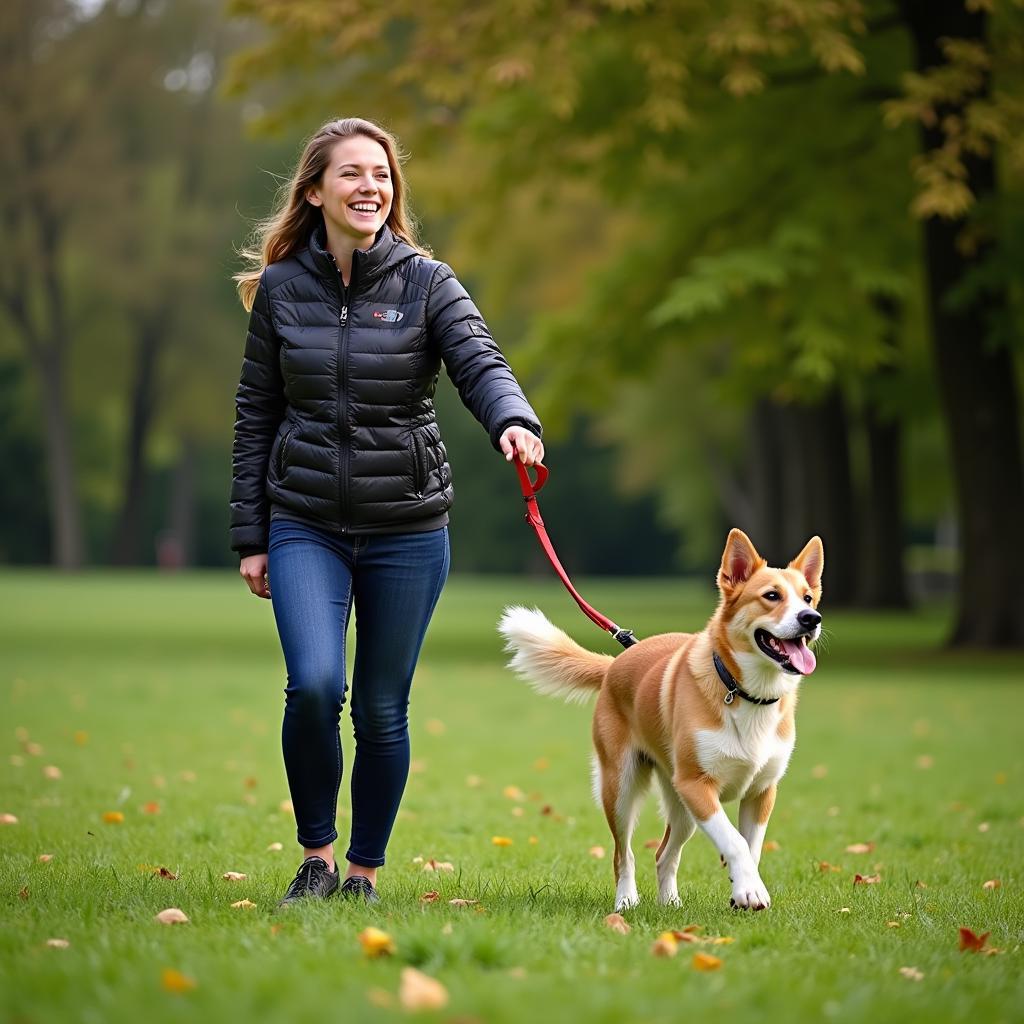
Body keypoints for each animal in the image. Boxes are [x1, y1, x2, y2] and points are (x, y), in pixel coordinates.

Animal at [495, 528, 823, 913]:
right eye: (772, 596)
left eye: (807, 597)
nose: (812, 618)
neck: (744, 692)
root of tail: (615, 663)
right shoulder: (697, 785)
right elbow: (735, 842)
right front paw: (749, 891)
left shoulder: (761, 791)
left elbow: (751, 847)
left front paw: (745, 888)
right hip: (621, 787)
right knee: (623, 855)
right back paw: (626, 902)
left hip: (680, 804)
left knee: (665, 853)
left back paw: (670, 904)